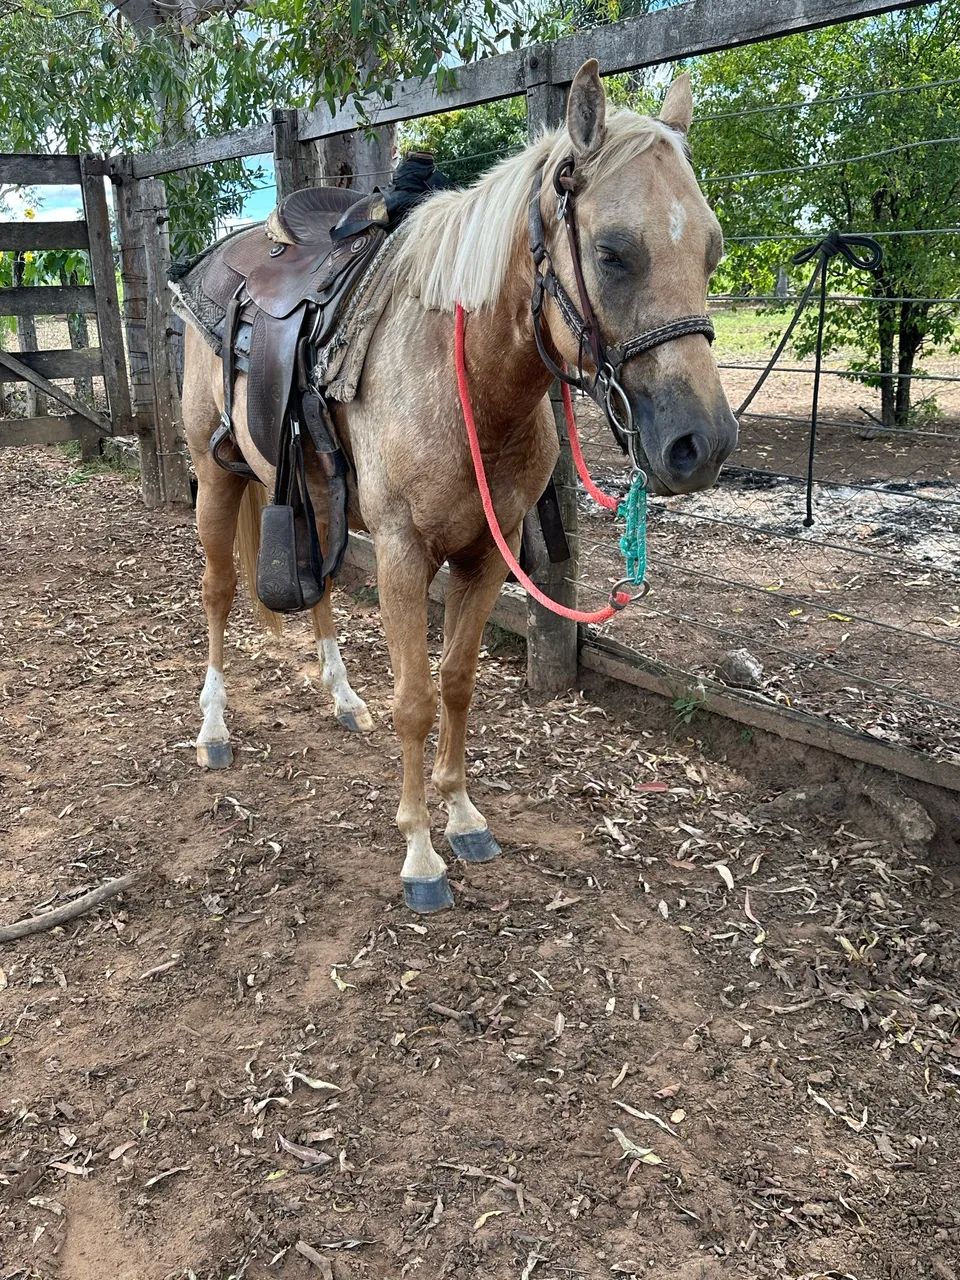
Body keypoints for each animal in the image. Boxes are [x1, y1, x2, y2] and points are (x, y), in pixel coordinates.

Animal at [179, 59, 738, 913]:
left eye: (711, 252)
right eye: (613, 252)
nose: (700, 445)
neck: (463, 374)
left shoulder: (481, 556)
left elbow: (458, 685)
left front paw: (464, 815)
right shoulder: (403, 555)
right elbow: (414, 700)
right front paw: (418, 852)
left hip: (304, 490)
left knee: (319, 589)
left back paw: (342, 698)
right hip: (216, 475)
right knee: (216, 591)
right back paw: (214, 729)